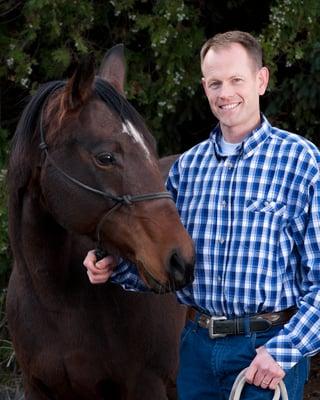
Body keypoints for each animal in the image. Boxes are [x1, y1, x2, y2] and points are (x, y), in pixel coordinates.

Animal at [6, 45, 194, 398]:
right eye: (105, 157)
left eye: (151, 148)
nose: (182, 259)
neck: (58, 302)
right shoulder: (36, 387)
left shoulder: (147, 385)